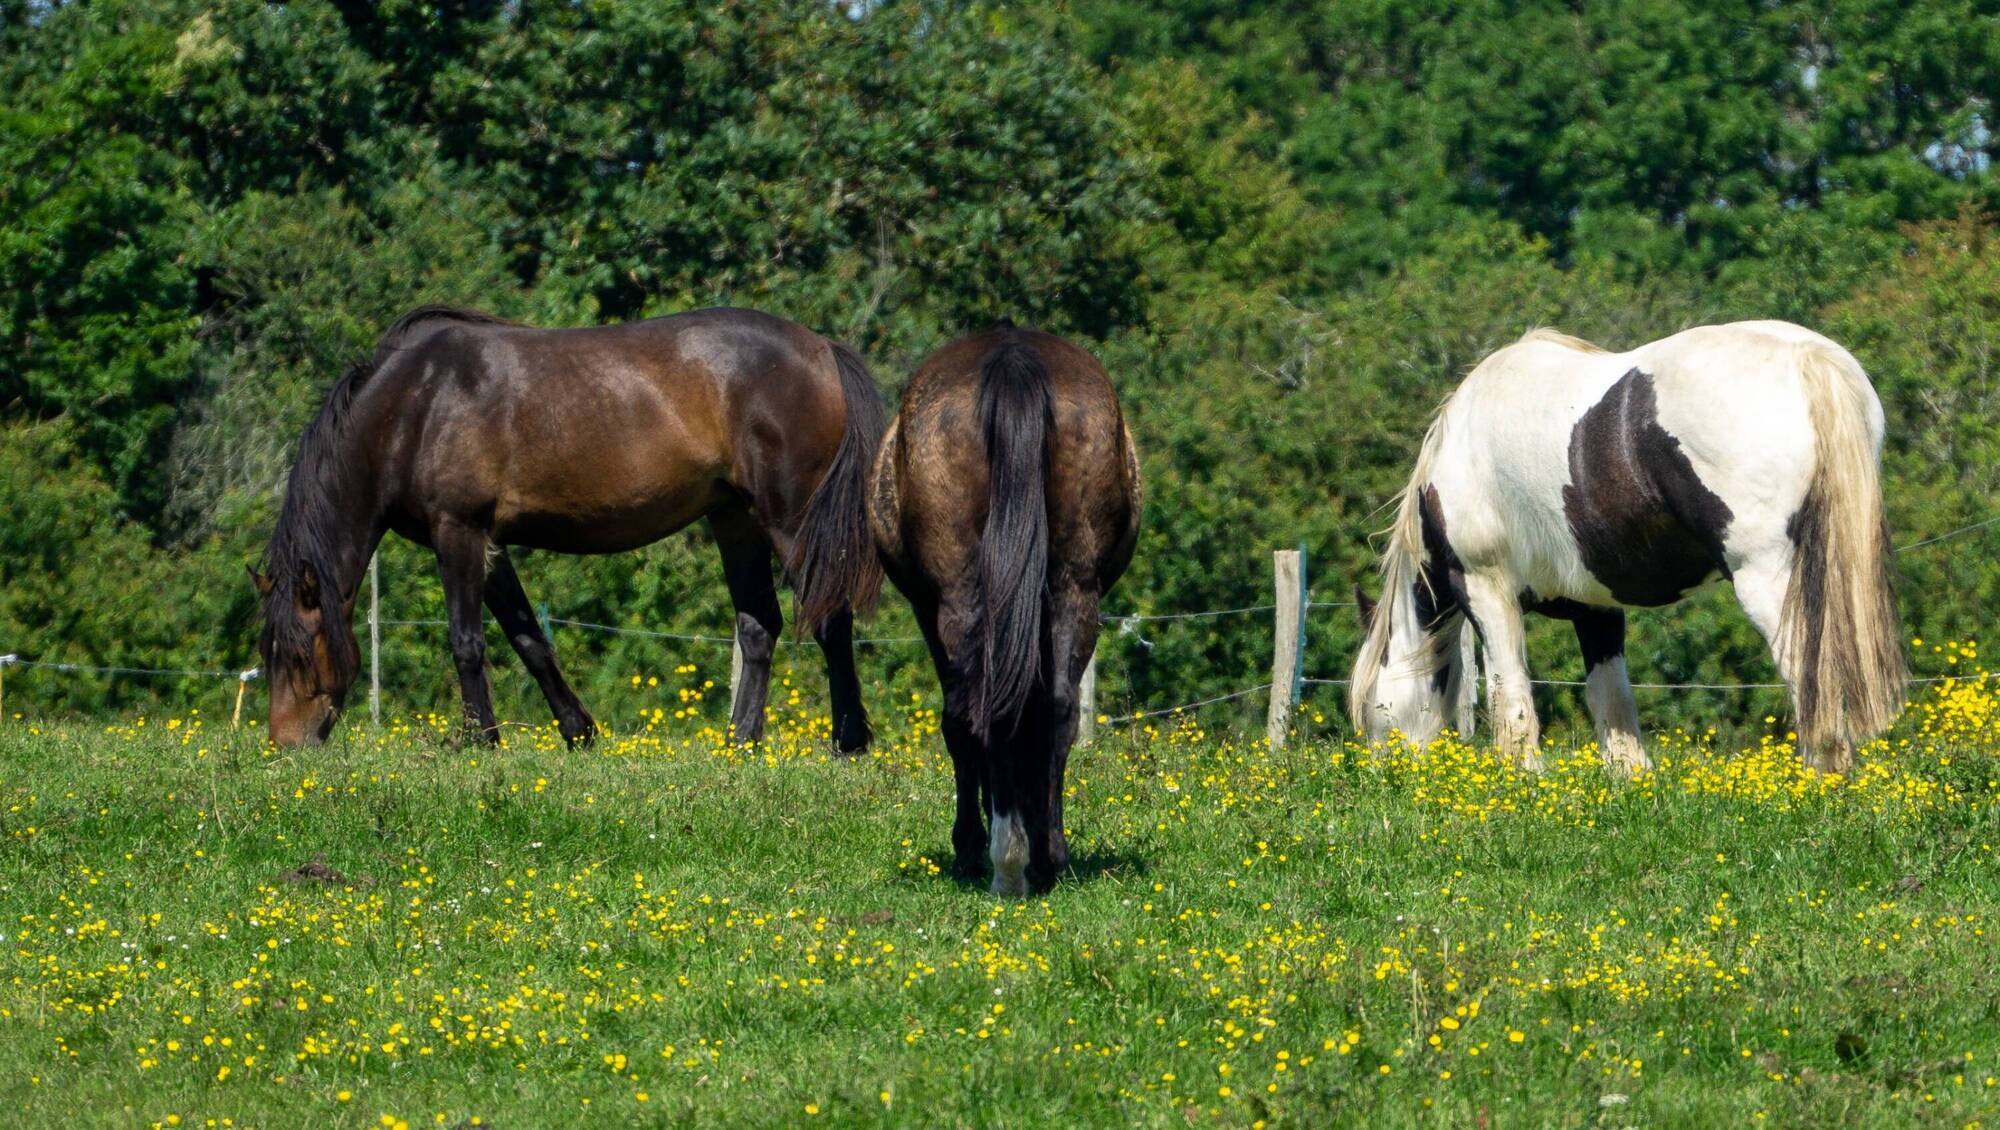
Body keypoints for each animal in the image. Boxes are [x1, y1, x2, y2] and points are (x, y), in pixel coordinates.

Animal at [251, 305, 885, 750]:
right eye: (268, 651)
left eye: (301, 654)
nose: (285, 746)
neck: (416, 404)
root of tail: (822, 349)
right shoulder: (490, 544)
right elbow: (528, 638)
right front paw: (578, 731)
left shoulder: (458, 531)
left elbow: (467, 641)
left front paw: (479, 741)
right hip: (735, 519)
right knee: (759, 627)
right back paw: (740, 744)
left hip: (791, 521)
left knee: (830, 619)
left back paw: (847, 742)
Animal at [869, 326, 1141, 896]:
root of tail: (1014, 360)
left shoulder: (927, 611)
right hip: (1073, 590)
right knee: (1055, 707)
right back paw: (1043, 857)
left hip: (958, 599)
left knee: (974, 709)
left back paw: (1001, 859)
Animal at [1350, 321, 1906, 774]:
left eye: (1370, 706)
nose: (1381, 779)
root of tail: (1807, 358)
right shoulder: (1595, 609)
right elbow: (1611, 704)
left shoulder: (1487, 592)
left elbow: (1513, 702)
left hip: (1769, 583)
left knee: (1809, 677)